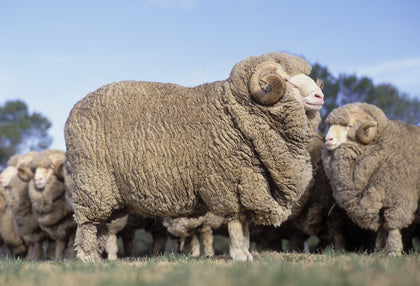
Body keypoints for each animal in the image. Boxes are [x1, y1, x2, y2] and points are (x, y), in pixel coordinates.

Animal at [65, 50, 324, 262]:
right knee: (87, 223)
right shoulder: (230, 183)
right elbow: (236, 224)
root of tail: (74, 110)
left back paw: (95, 256)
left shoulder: (251, 183)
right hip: (92, 183)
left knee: (101, 225)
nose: (320, 96)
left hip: (109, 193)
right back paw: (86, 257)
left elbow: (245, 227)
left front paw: (247, 254)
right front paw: (239, 256)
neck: (236, 113)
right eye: (286, 80)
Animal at [322, 103, 420, 255]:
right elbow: (381, 228)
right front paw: (380, 250)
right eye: (330, 126)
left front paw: (394, 252)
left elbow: (393, 226)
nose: (328, 140)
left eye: (349, 126)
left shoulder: (399, 197)